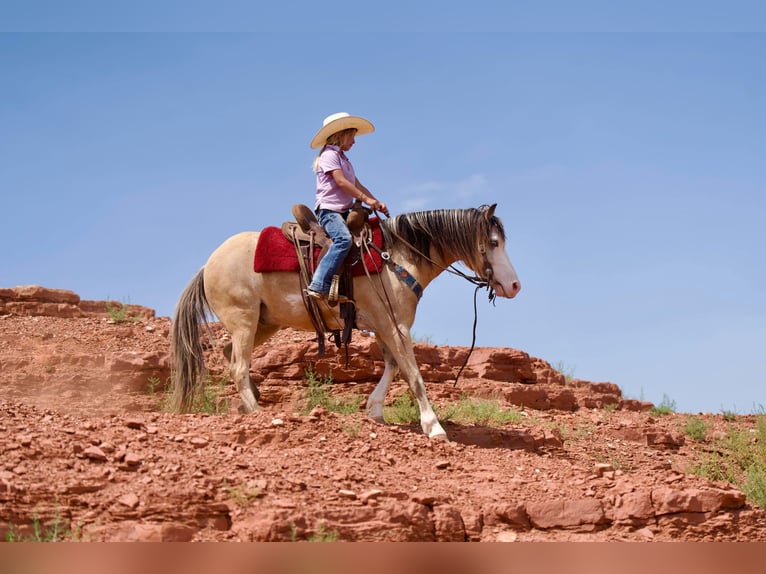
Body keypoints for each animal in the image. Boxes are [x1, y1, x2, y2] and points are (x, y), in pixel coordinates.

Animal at [170, 204, 520, 439]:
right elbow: (413, 374)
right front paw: (433, 426)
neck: (396, 259)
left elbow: (393, 366)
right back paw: (259, 413)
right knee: (239, 366)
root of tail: (207, 265)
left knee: (230, 354)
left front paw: (375, 409)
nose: (515, 286)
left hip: (264, 323)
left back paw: (248, 404)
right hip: (244, 320)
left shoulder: (383, 325)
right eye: (493, 243)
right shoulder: (395, 325)